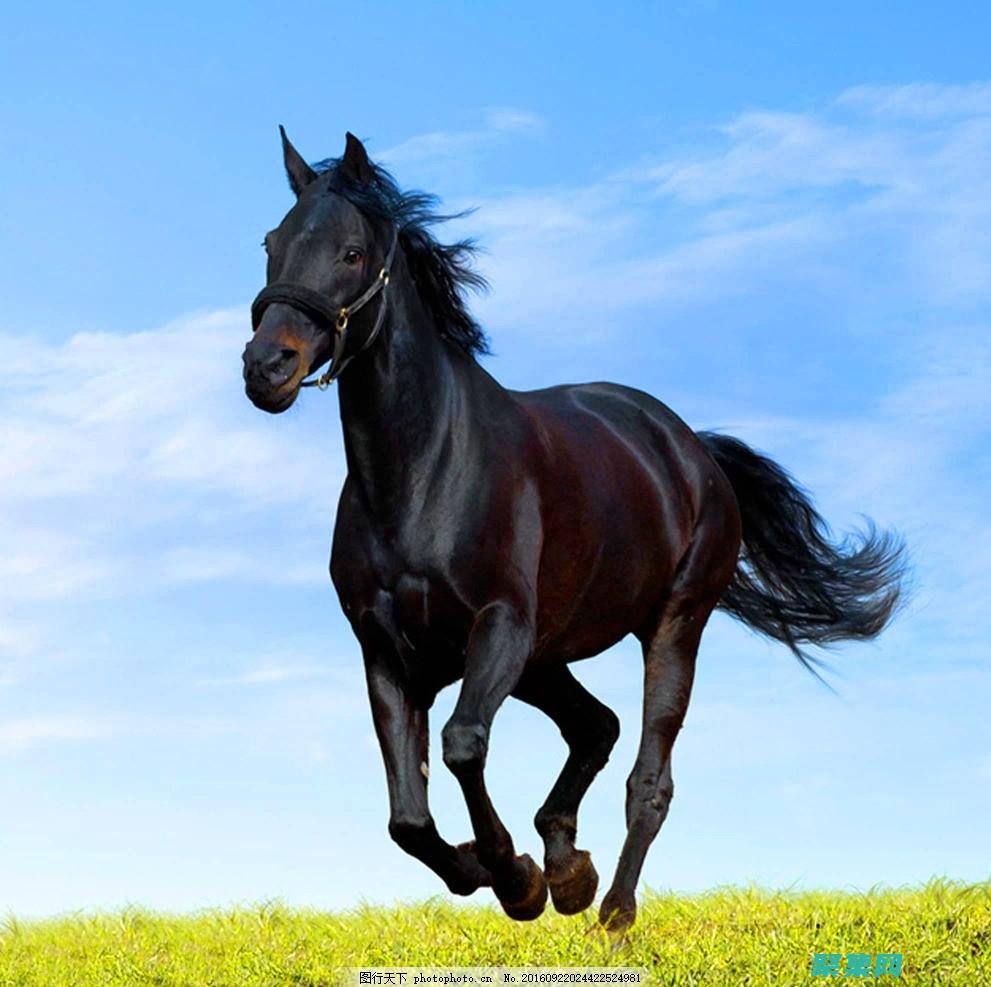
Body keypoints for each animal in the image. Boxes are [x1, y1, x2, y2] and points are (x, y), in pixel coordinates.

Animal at [242, 130, 906, 932]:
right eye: (271, 243)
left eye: (349, 251)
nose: (266, 366)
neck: (422, 474)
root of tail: (691, 448)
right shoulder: (388, 653)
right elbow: (408, 817)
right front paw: (504, 870)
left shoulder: (498, 626)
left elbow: (462, 746)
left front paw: (515, 877)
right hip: (545, 657)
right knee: (596, 727)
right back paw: (569, 868)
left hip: (669, 626)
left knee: (648, 777)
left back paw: (610, 912)